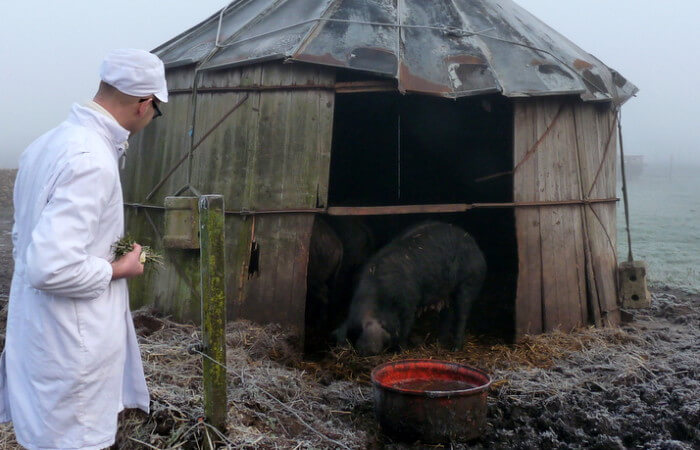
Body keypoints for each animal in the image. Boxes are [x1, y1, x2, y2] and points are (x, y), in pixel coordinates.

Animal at [334, 221, 486, 356]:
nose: (362, 350)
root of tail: (475, 247)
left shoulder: (409, 301)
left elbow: (405, 327)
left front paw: (400, 350)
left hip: (468, 283)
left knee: (462, 315)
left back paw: (455, 349)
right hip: (446, 292)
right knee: (447, 315)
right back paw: (439, 343)